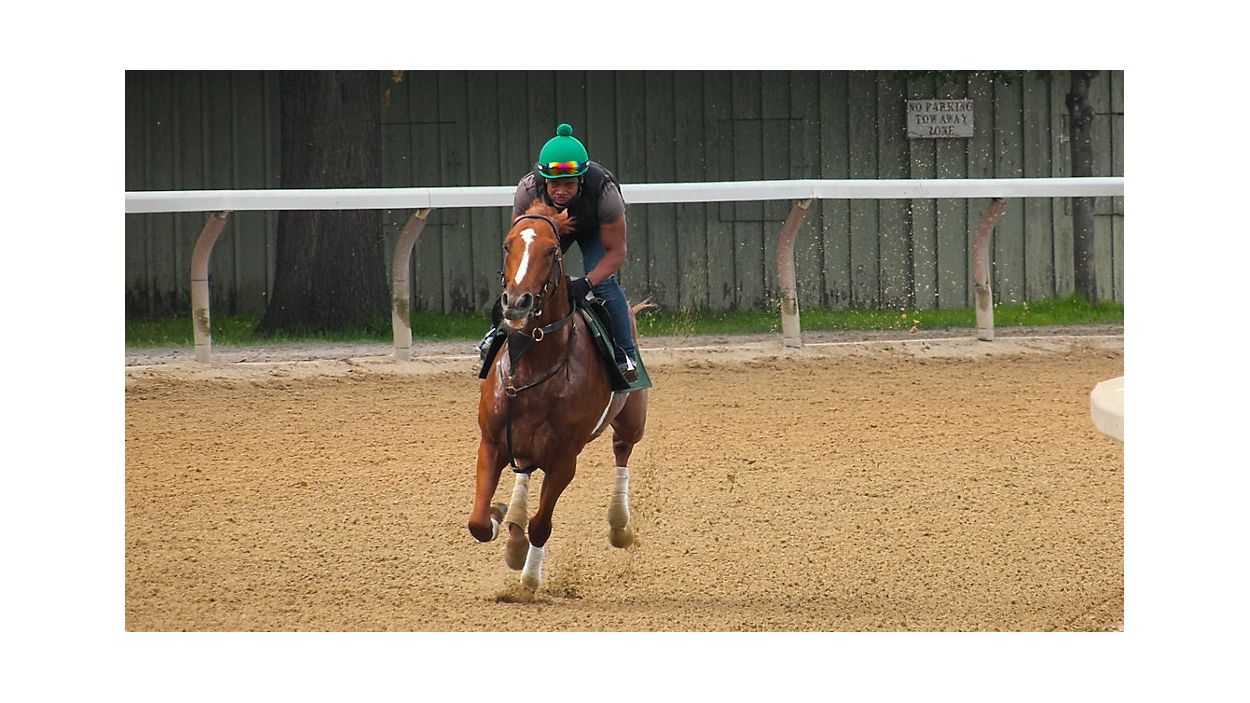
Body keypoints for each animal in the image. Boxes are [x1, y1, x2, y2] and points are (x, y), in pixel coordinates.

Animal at [466, 201, 649, 592]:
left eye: (552, 251)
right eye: (508, 245)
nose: (516, 302)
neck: (535, 367)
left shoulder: (565, 458)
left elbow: (541, 524)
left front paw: (529, 580)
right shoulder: (491, 442)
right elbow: (478, 522)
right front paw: (499, 516)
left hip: (632, 419)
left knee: (622, 452)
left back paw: (619, 526)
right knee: (525, 470)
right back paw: (514, 529)